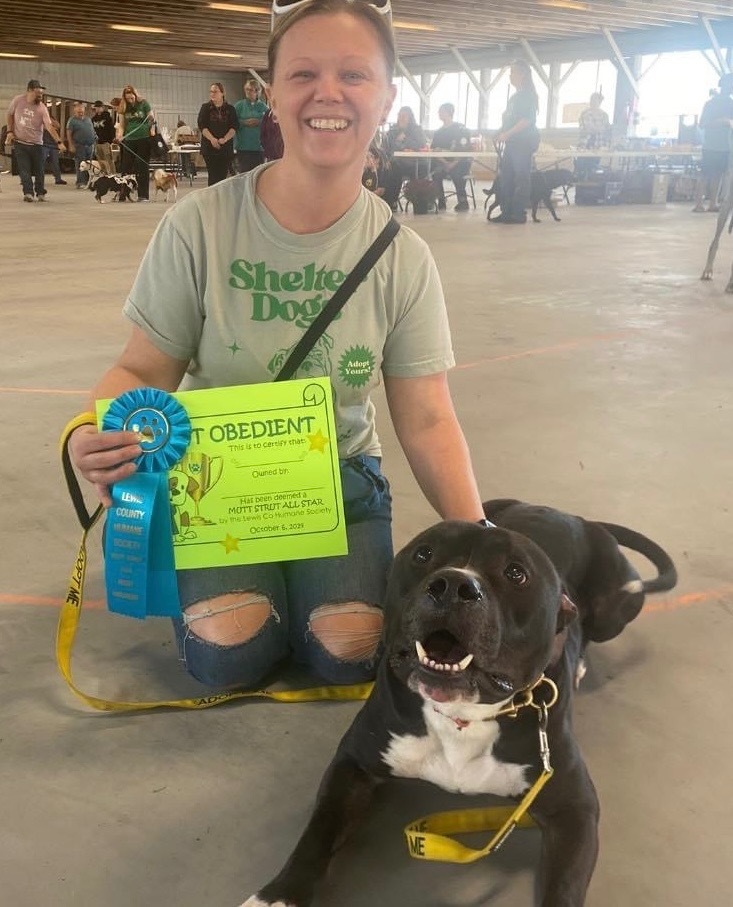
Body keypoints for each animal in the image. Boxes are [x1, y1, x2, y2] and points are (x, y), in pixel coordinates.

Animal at [240, 500, 676, 904]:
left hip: (619, 605)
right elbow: (318, 831)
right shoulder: (353, 764)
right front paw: (276, 895)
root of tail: (577, 518)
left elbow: (564, 885)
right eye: (423, 554)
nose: (452, 585)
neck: (461, 717)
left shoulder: (575, 807)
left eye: (516, 573)